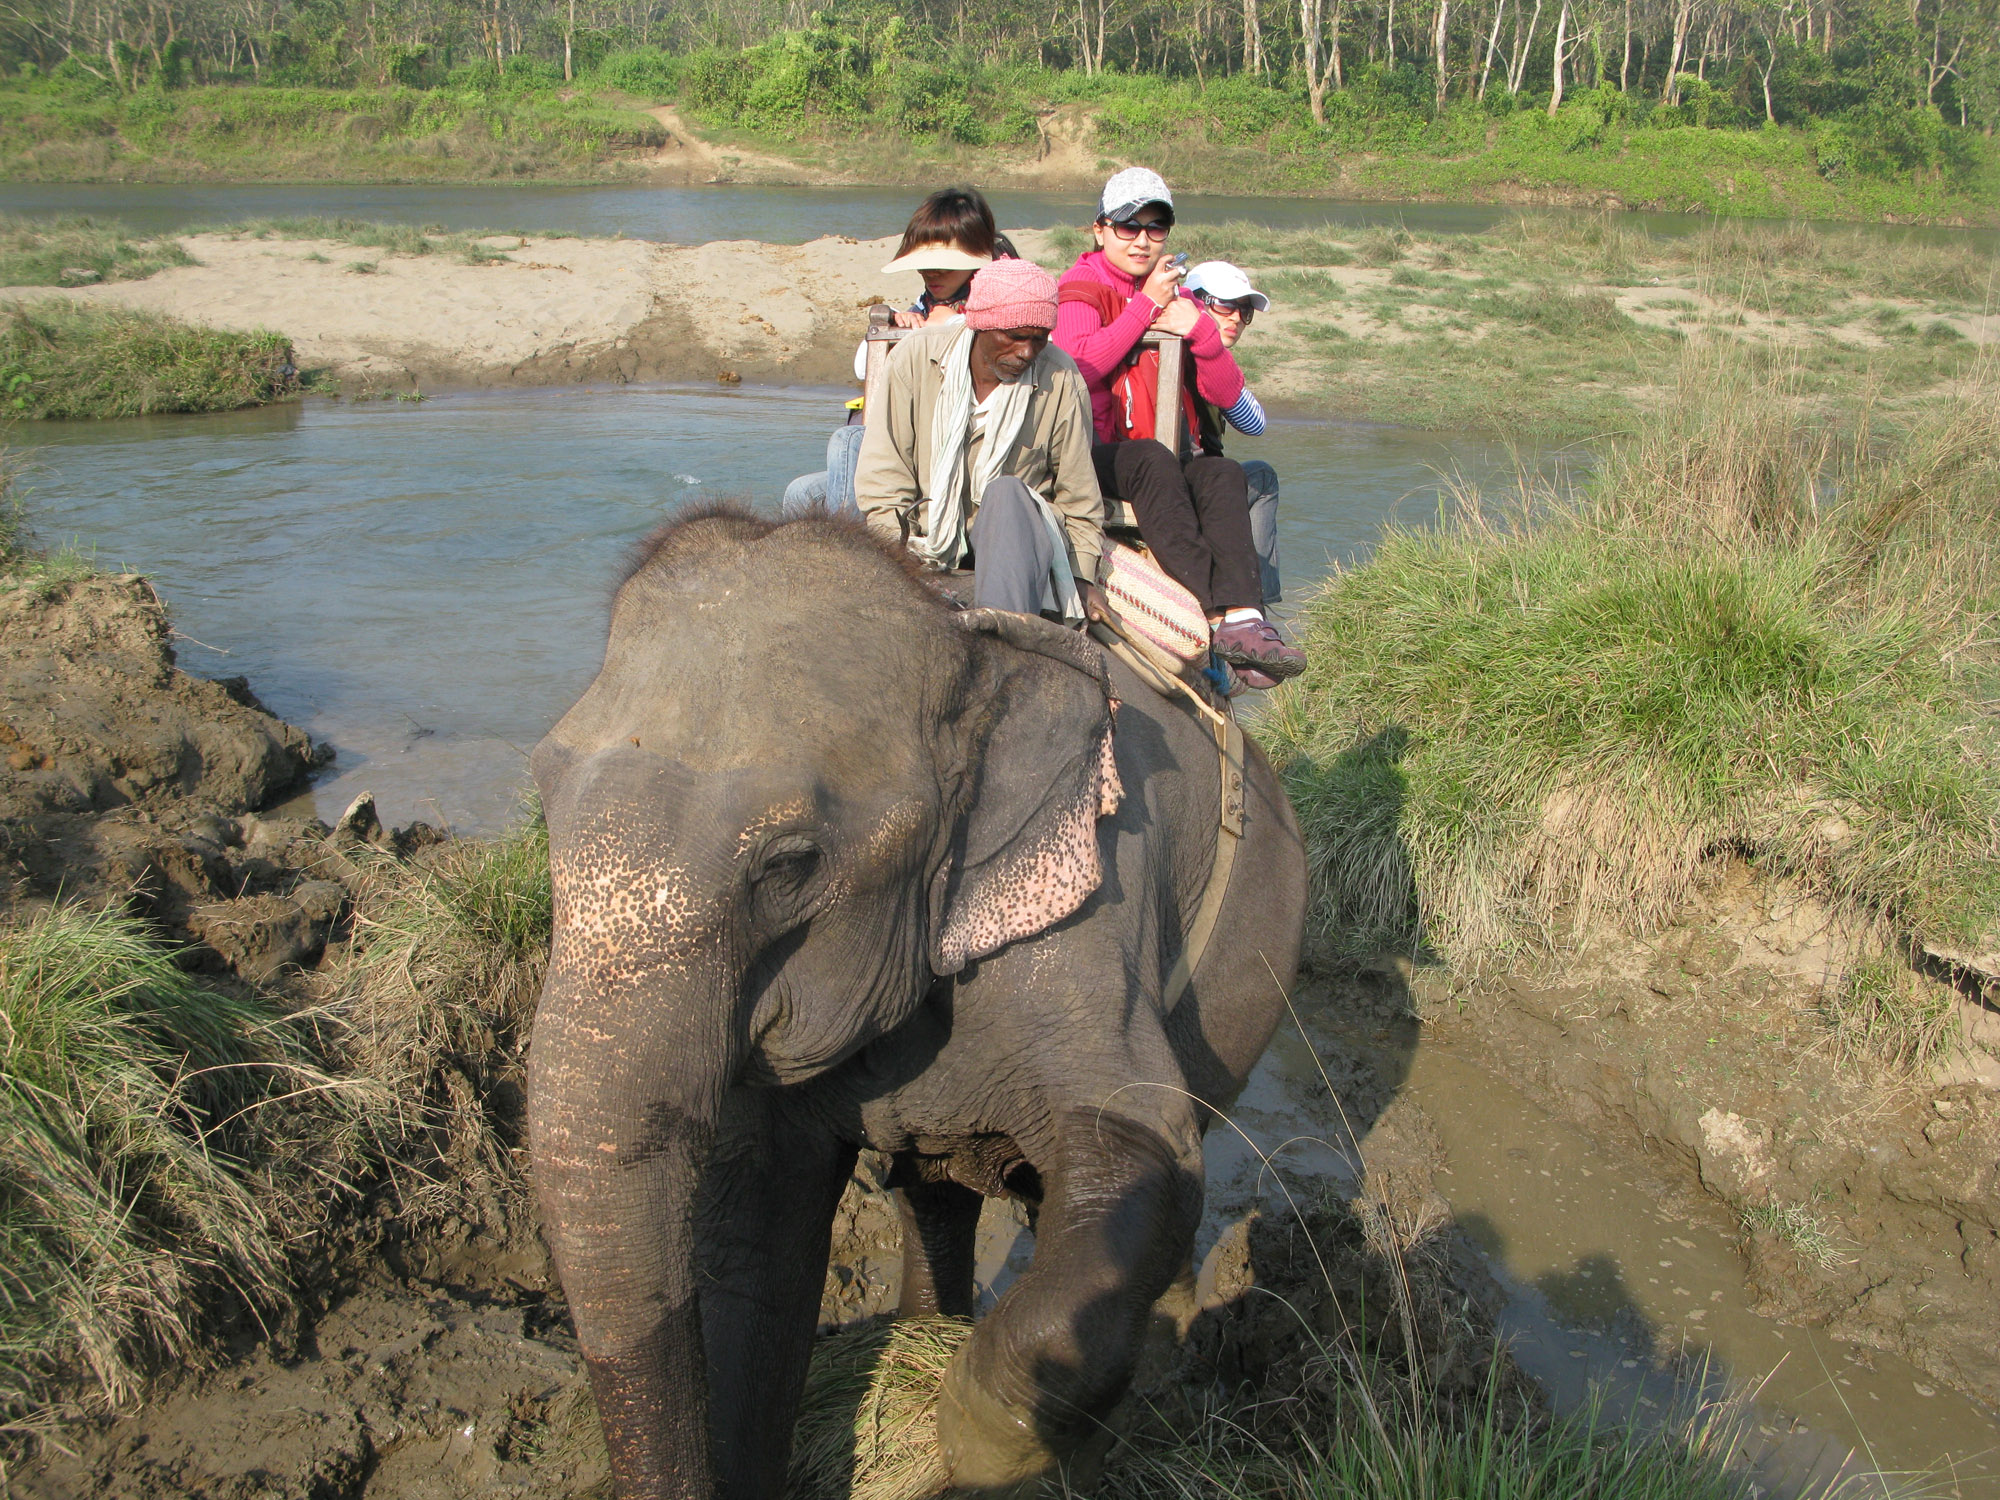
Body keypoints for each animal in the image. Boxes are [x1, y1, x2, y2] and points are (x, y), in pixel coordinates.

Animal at [526, 504, 1306, 1500]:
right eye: (542, 798)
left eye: (790, 865)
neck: (961, 636)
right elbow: (754, 1240)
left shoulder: (1095, 898)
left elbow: (1141, 1145)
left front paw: (963, 1440)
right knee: (934, 1197)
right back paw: (930, 1327)